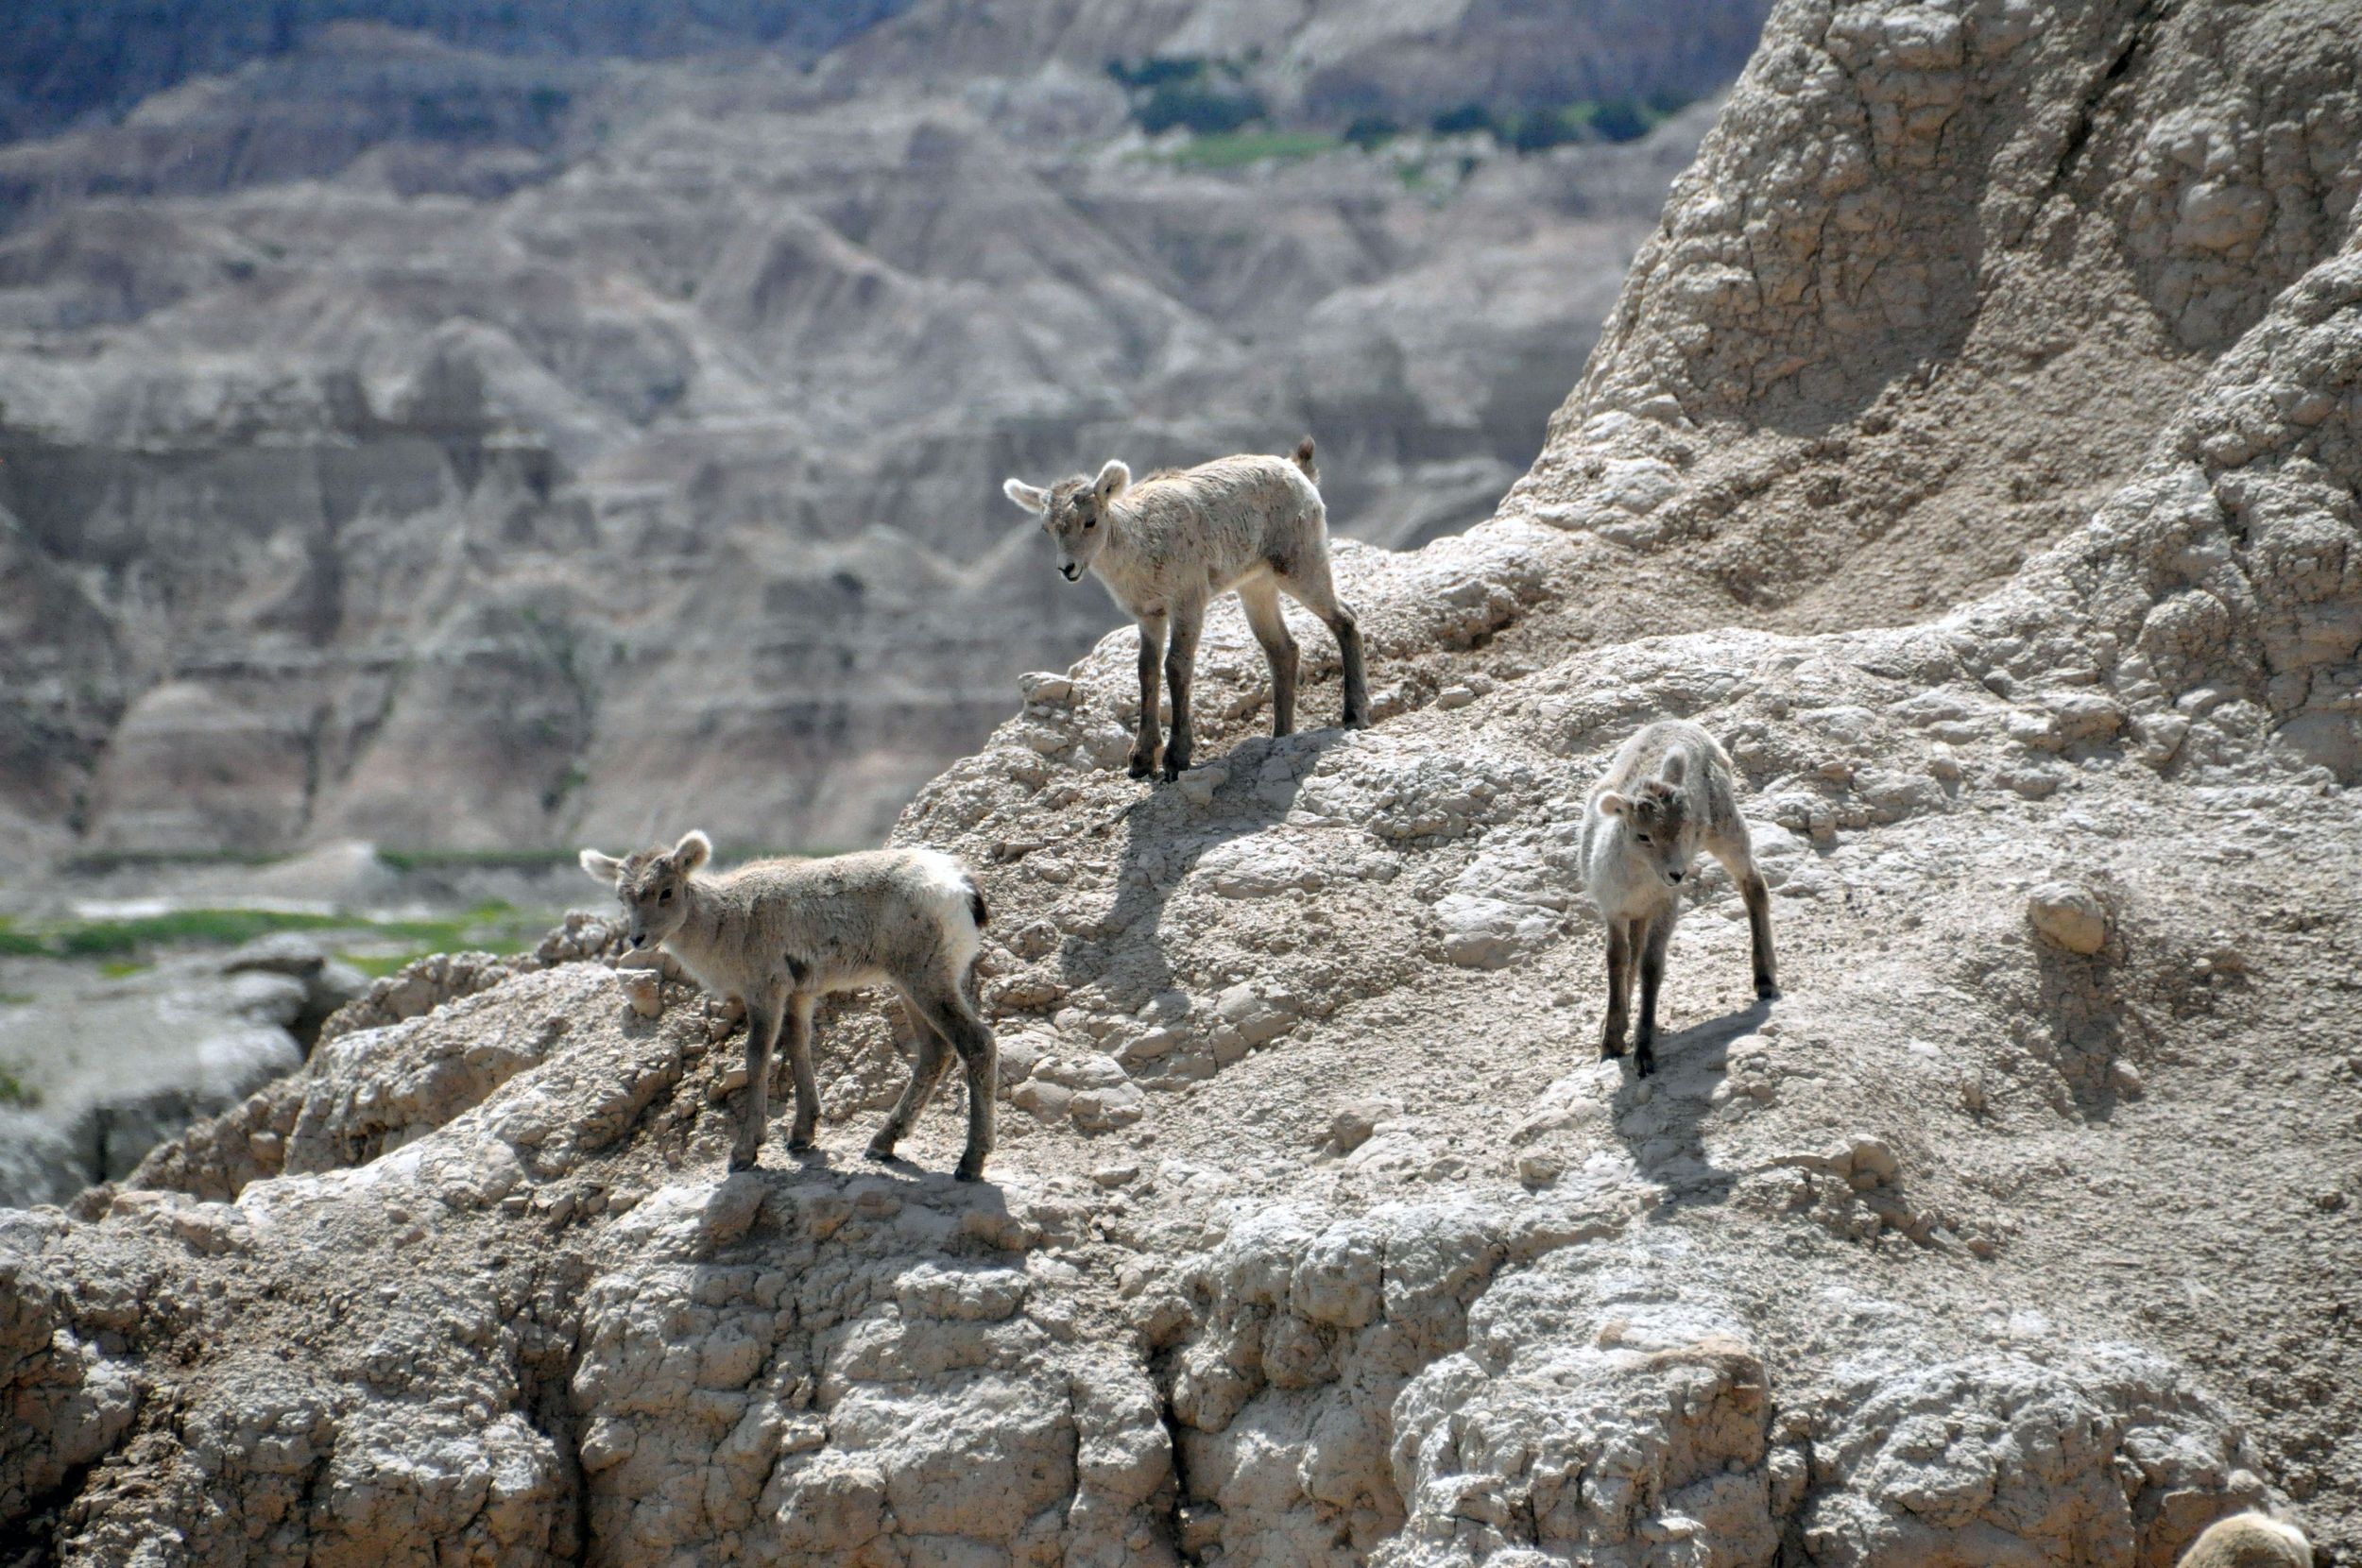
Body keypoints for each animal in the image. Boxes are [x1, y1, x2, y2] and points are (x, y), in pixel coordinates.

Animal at [579, 831, 997, 1181]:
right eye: (623, 897)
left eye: (665, 891)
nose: (638, 938)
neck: (727, 922)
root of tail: (962, 885)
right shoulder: (799, 995)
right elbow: (798, 1049)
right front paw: (801, 1135)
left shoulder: (765, 991)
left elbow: (758, 1057)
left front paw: (745, 1151)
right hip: (909, 984)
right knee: (935, 1050)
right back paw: (883, 1142)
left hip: (926, 980)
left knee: (977, 1043)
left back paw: (970, 1163)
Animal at [1002, 437, 1369, 781]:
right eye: (1047, 528)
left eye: (1090, 521)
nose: (1068, 569)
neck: (1141, 544)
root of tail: (1299, 470)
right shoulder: (1150, 615)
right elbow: (1146, 669)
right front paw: (1141, 759)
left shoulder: (1187, 603)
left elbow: (1176, 667)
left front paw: (1176, 759)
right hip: (1256, 587)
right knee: (1284, 650)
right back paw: (1281, 735)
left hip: (1300, 567)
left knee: (1346, 619)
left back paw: (1354, 716)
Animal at [1580, 719, 1778, 1076]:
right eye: (1643, 835)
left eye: (1684, 826)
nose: (1676, 874)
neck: (1637, 884)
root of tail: (1688, 726)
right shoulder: (1615, 911)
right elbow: (1618, 960)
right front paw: (1611, 1042)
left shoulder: (1664, 907)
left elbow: (1650, 966)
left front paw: (1644, 1055)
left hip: (1725, 829)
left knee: (1753, 883)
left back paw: (1765, 982)